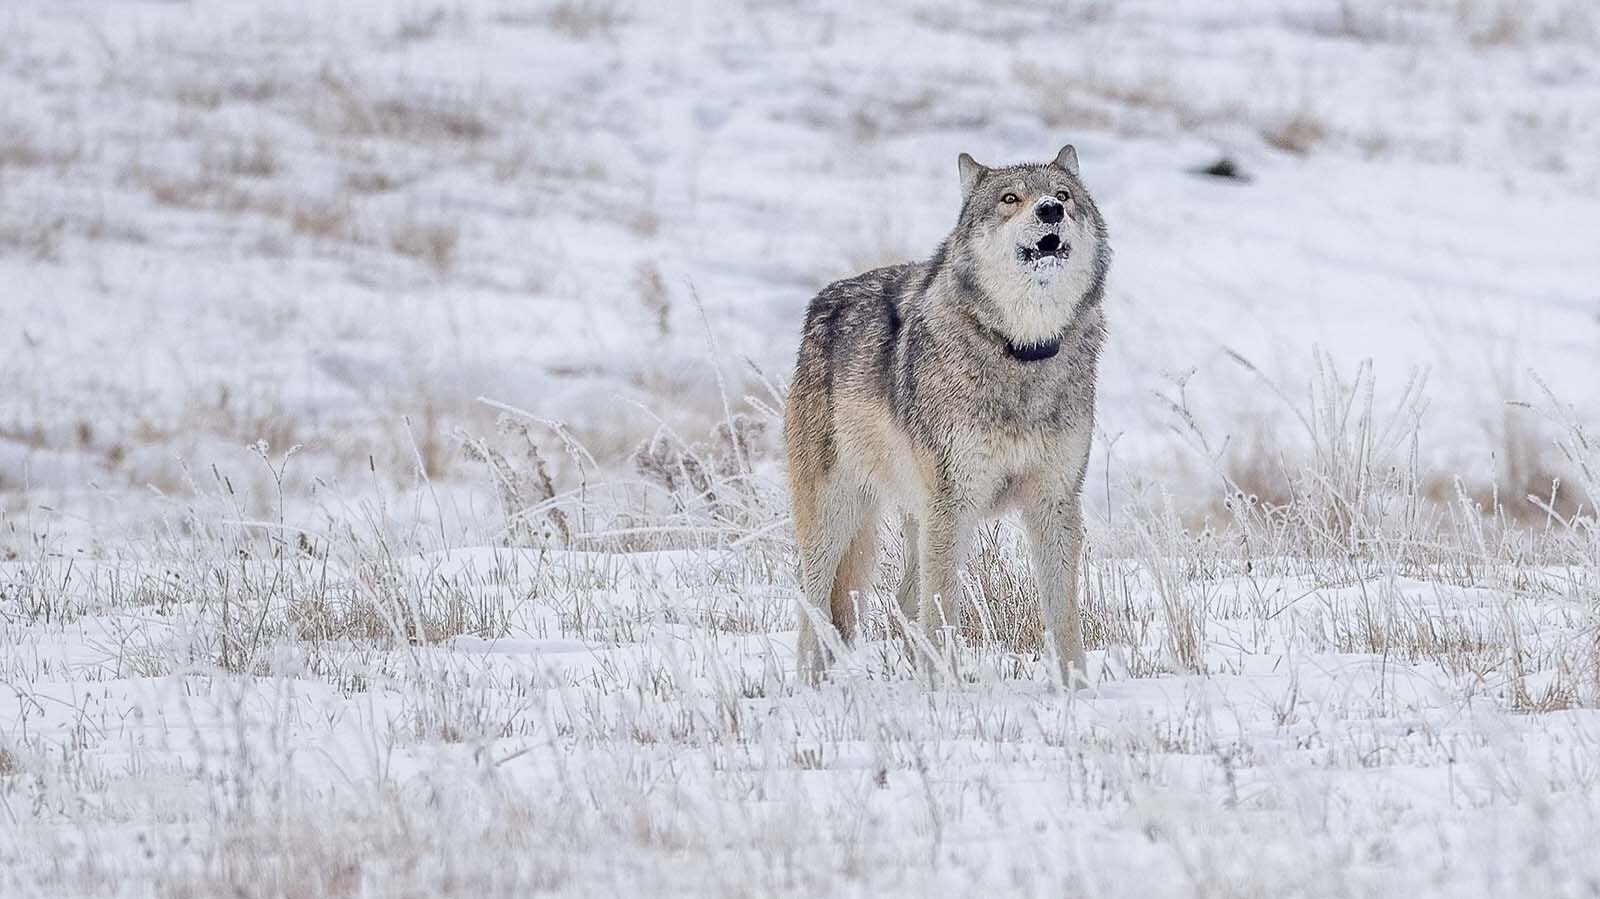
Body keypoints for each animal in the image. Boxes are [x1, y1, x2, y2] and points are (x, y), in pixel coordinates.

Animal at [784, 144, 1110, 685]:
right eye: (1010, 199)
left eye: (1063, 195)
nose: (1049, 211)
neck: (1021, 350)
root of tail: (823, 303)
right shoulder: (952, 504)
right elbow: (942, 616)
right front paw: (942, 691)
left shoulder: (1055, 500)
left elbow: (1064, 616)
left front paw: (1077, 690)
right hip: (838, 518)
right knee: (813, 609)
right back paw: (811, 687)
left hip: (917, 520)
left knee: (902, 599)